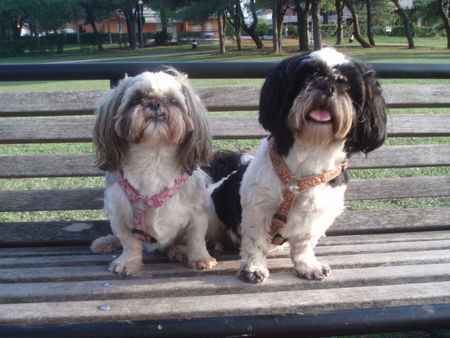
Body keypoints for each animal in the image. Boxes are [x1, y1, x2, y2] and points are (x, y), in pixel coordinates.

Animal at [89, 68, 216, 274]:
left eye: (173, 100)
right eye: (135, 100)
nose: (155, 103)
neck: (153, 156)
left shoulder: (198, 213)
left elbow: (196, 239)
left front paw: (200, 258)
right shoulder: (119, 214)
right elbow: (128, 242)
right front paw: (127, 261)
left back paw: (179, 251)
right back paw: (106, 242)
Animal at [207, 47, 386, 284]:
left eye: (347, 84)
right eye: (307, 75)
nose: (327, 85)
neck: (311, 150)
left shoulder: (316, 216)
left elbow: (303, 245)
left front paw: (307, 266)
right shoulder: (257, 208)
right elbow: (254, 242)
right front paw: (253, 268)